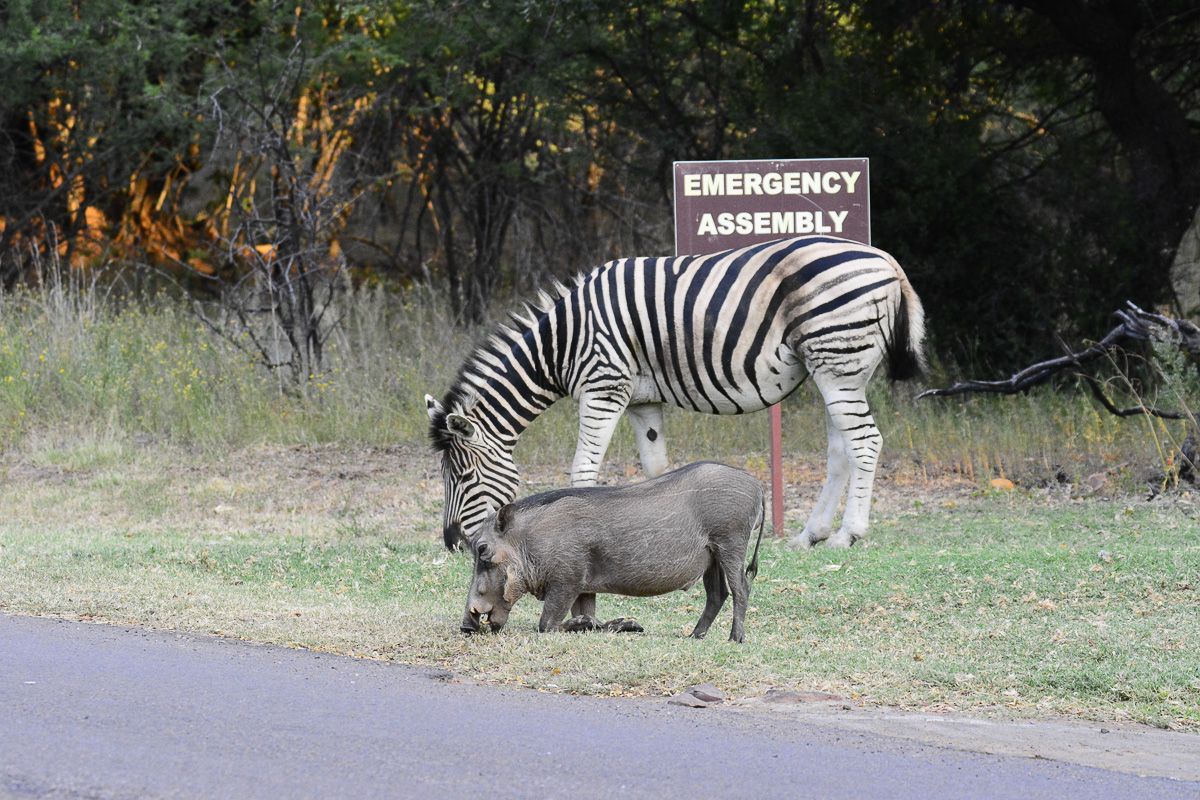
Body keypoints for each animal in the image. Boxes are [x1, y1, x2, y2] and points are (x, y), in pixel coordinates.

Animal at [425, 234, 925, 552]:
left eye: (462, 477)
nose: (453, 545)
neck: (563, 342)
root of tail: (885, 259)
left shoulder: (604, 386)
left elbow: (582, 470)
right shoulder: (642, 400)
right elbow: (656, 469)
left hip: (837, 360)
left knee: (866, 443)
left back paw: (848, 534)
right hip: (834, 367)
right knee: (842, 450)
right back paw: (811, 535)